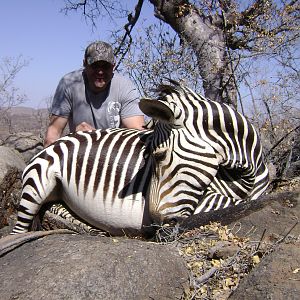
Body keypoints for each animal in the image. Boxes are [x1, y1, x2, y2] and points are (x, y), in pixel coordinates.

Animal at [11, 81, 270, 236]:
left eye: (160, 156)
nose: (156, 225)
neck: (245, 175)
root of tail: (54, 143)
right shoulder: (203, 202)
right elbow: (233, 204)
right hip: (37, 183)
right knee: (19, 230)